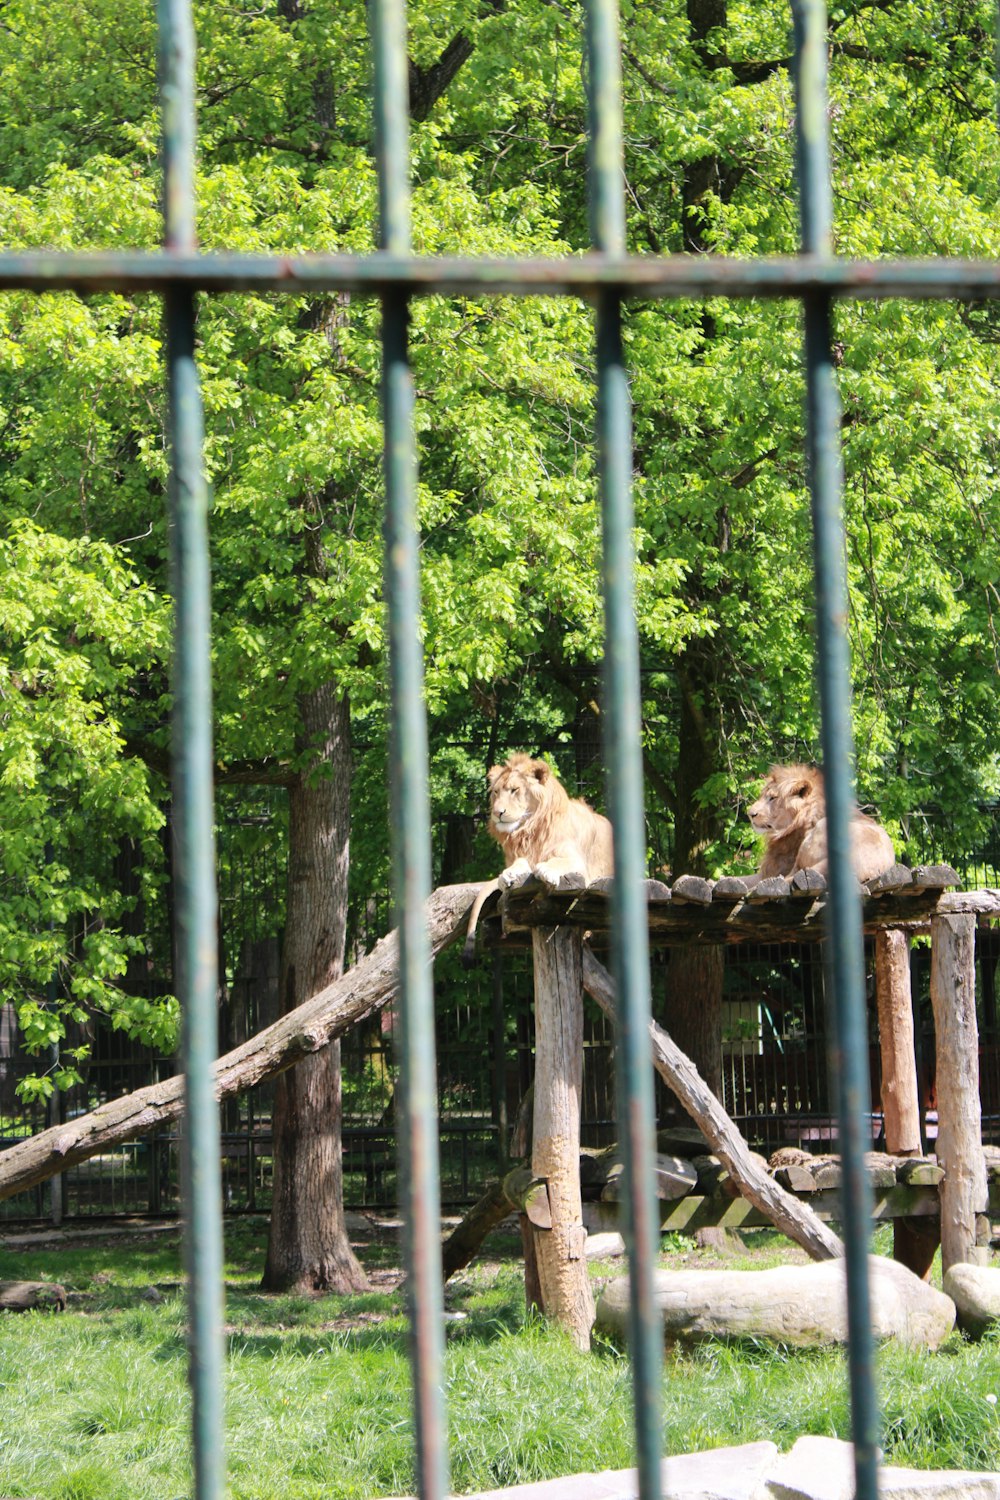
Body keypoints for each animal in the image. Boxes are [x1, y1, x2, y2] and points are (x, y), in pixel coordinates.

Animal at [458, 756, 614, 966]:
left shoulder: (579, 863)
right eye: (496, 792)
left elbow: (558, 861)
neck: (530, 830)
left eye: (515, 790)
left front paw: (546, 870)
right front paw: (507, 875)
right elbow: (519, 864)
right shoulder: (520, 856)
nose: (497, 813)